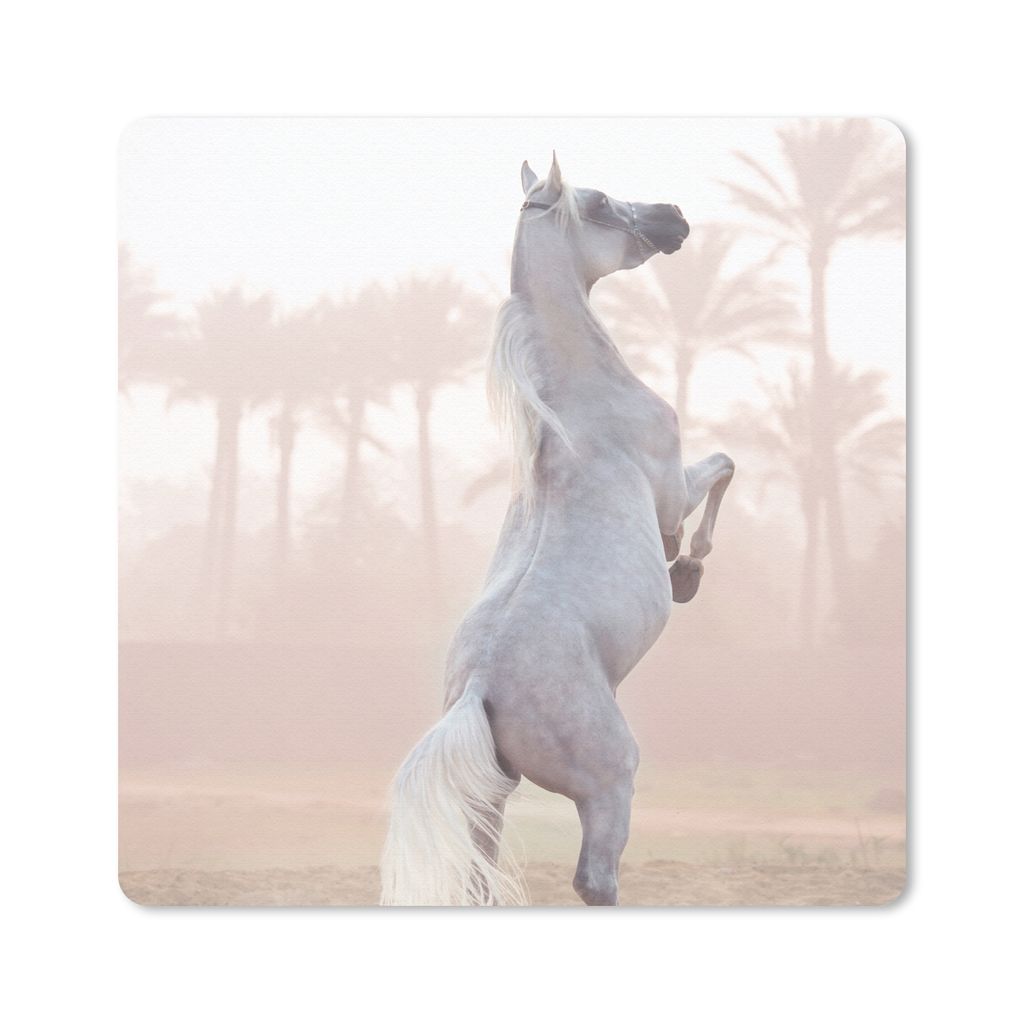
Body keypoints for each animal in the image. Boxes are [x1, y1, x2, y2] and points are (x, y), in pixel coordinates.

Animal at [380, 153, 734, 906]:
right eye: (598, 204)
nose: (674, 216)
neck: (578, 411)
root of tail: (480, 690)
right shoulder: (671, 494)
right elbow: (722, 470)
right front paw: (686, 571)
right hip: (609, 783)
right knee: (595, 880)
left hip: (490, 798)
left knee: (480, 880)